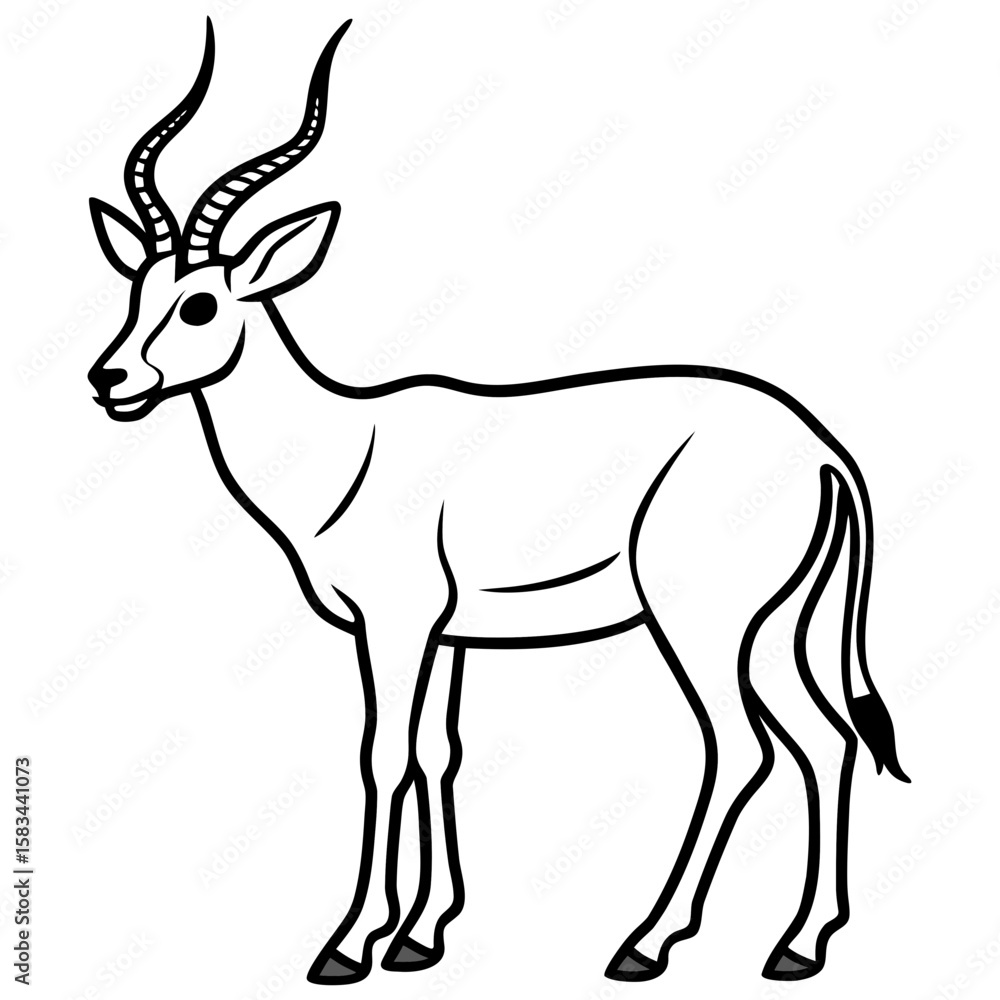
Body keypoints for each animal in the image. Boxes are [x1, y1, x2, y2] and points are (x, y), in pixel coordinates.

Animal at [88, 18, 909, 986]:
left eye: (202, 304)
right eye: (137, 289)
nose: (110, 380)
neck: (348, 445)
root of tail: (822, 451)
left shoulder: (394, 624)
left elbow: (384, 757)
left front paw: (347, 946)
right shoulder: (450, 635)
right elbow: (438, 756)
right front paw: (419, 936)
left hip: (703, 620)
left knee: (742, 748)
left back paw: (645, 945)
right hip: (777, 624)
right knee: (828, 740)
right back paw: (798, 946)